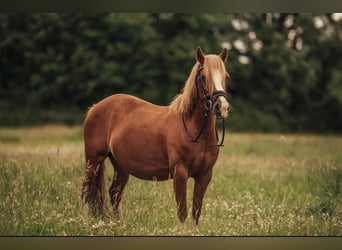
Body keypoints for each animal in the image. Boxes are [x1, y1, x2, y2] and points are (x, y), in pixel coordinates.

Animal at [81, 46, 230, 225]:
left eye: (225, 76)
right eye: (203, 77)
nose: (221, 107)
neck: (196, 132)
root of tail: (95, 108)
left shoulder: (204, 176)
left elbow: (196, 212)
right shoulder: (180, 174)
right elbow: (182, 212)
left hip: (121, 166)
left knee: (114, 193)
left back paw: (120, 225)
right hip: (93, 161)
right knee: (86, 191)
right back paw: (81, 221)